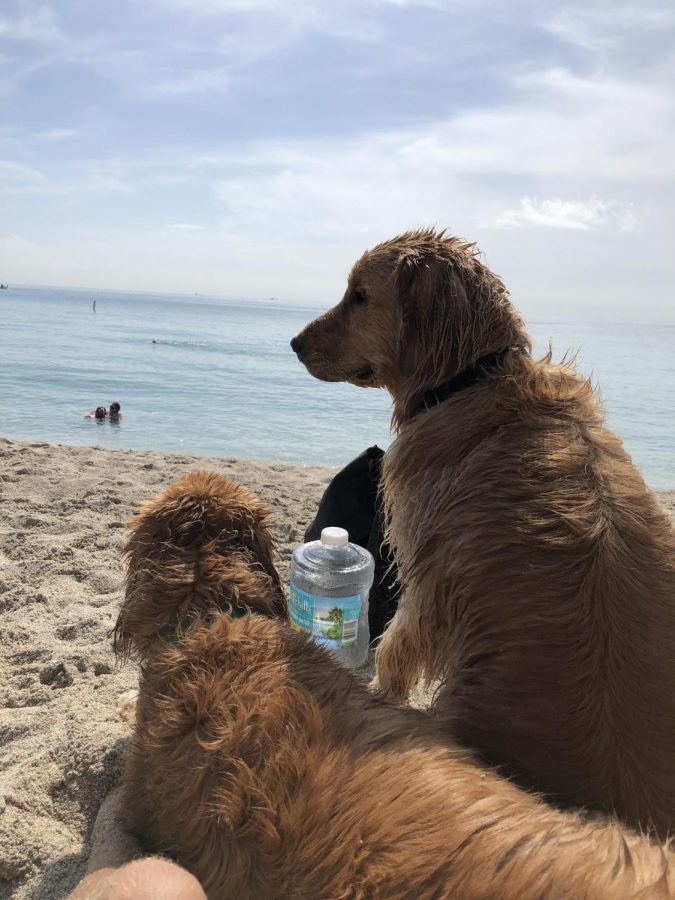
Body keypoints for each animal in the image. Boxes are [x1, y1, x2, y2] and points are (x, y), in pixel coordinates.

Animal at [292, 229, 675, 840]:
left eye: (359, 295)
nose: (294, 343)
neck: (471, 379)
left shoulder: (427, 575)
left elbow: (395, 647)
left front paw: (376, 696)